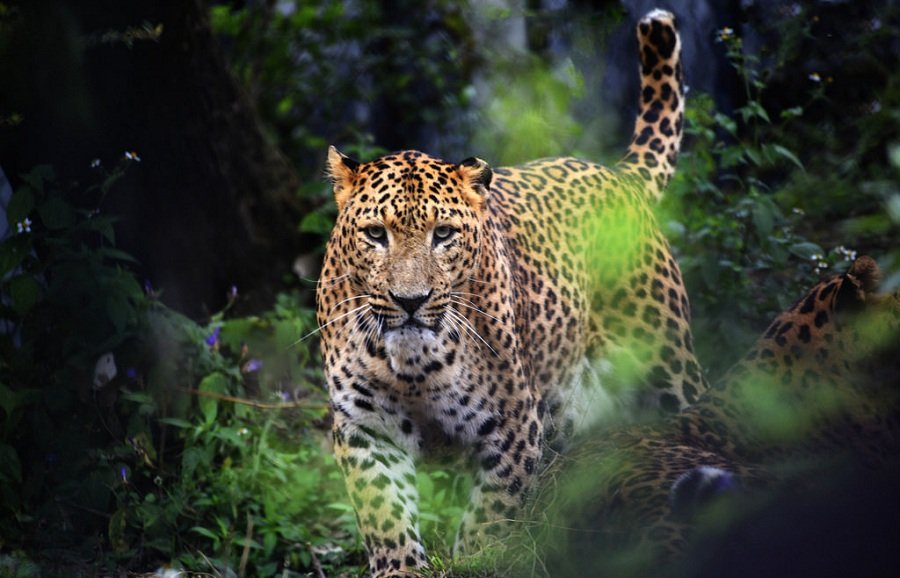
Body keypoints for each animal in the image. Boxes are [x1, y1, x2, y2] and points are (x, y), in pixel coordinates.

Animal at [315, 9, 704, 577]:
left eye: (443, 234)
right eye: (375, 234)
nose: (410, 300)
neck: (413, 365)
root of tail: (616, 176)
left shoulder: (514, 425)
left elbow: (491, 518)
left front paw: (480, 558)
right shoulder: (365, 428)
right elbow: (384, 511)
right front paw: (400, 566)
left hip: (665, 364)